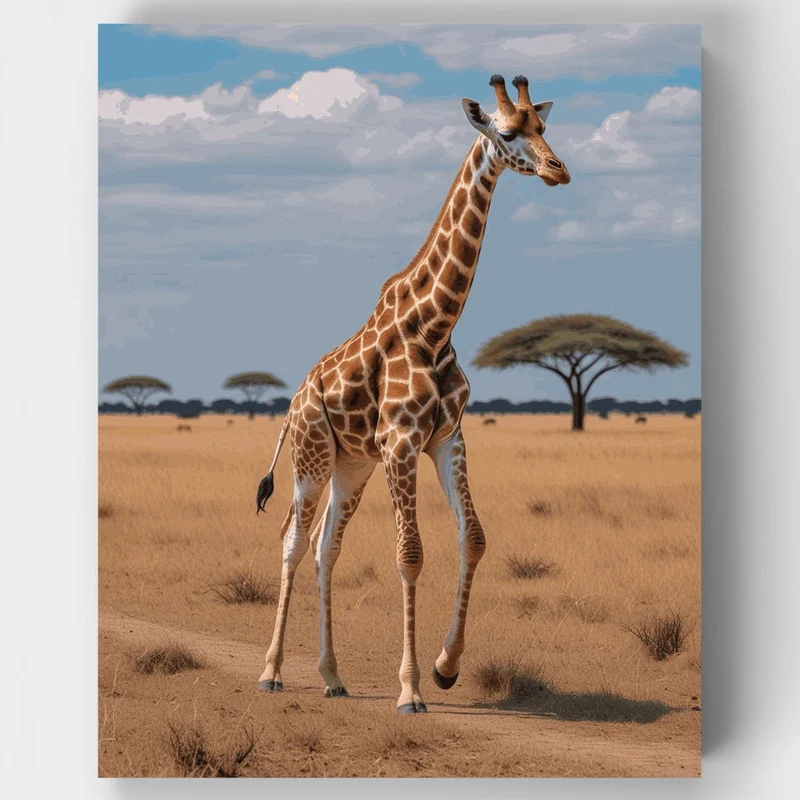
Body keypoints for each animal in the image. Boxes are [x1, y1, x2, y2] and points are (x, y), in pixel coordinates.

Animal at [255, 74, 570, 714]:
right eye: (507, 132)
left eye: (544, 126)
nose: (558, 170)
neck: (436, 324)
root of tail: (292, 407)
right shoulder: (402, 440)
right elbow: (410, 553)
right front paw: (411, 689)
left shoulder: (447, 437)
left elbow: (473, 538)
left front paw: (447, 668)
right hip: (310, 459)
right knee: (292, 542)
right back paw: (271, 672)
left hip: (351, 467)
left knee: (326, 548)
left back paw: (332, 677)